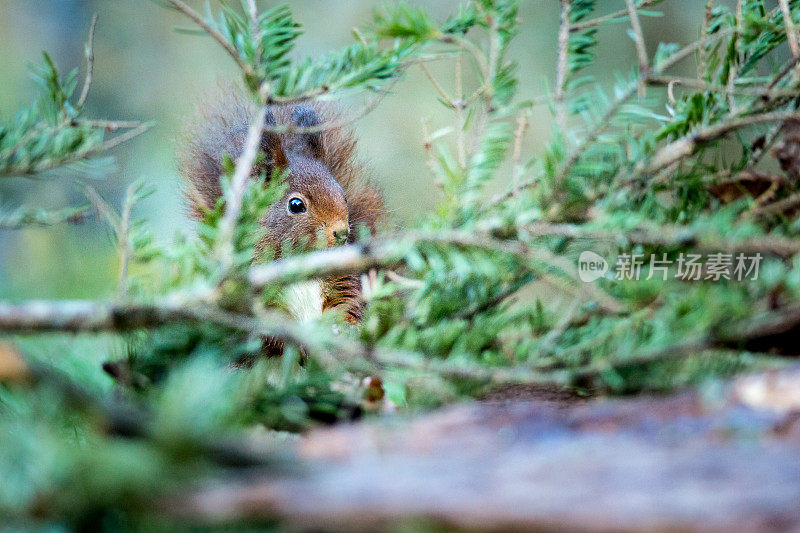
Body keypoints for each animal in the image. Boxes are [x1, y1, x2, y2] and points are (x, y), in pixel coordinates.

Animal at [178, 90, 384, 324]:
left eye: (344, 196)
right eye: (296, 205)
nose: (342, 233)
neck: (300, 261)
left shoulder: (342, 278)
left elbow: (348, 303)